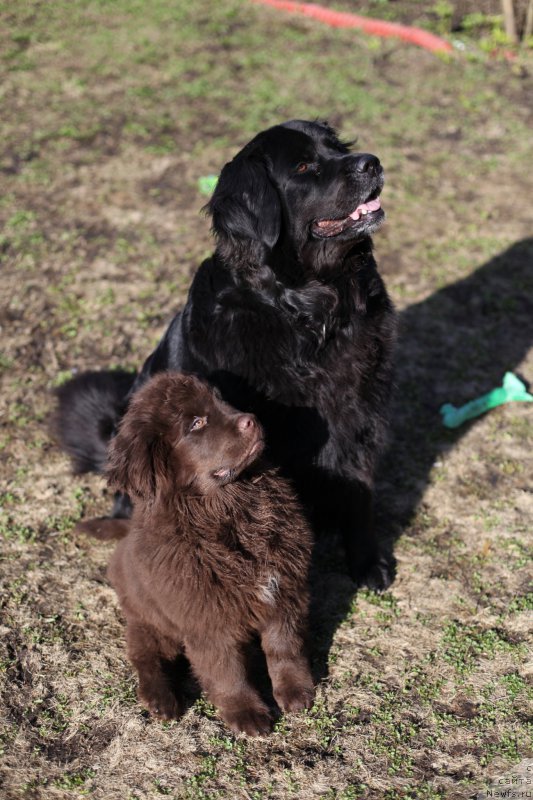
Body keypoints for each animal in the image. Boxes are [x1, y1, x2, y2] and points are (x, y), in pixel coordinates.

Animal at [56, 122, 396, 592]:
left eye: (338, 146)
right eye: (304, 167)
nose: (372, 162)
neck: (308, 312)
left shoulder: (358, 413)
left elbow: (359, 492)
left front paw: (367, 562)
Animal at [78, 372, 312, 736]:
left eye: (221, 401)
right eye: (196, 423)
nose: (251, 419)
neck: (229, 509)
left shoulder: (283, 589)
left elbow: (284, 645)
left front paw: (296, 692)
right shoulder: (204, 615)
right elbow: (226, 669)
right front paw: (246, 713)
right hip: (149, 619)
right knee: (144, 654)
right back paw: (159, 698)